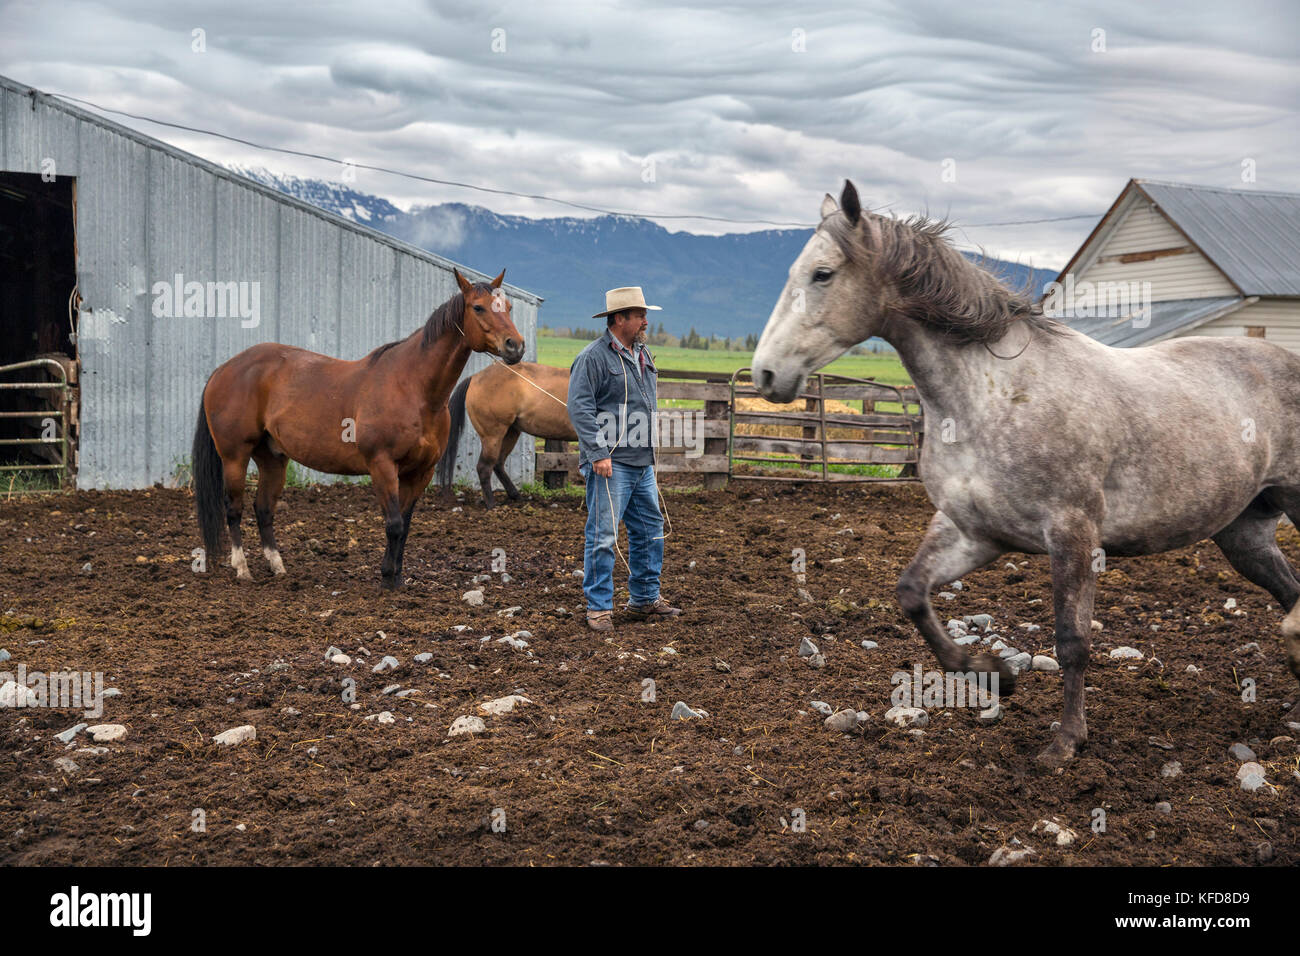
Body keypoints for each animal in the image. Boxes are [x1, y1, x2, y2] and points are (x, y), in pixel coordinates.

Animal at [191, 265, 522, 587]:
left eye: (508, 306)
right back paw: (242, 569)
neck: (413, 388)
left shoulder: (420, 472)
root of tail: (225, 368)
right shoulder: (382, 466)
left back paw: (277, 567)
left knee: (263, 509)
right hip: (235, 456)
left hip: (272, 458)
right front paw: (387, 579)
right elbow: (393, 524)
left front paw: (397, 578)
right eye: (478, 307)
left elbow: (406, 525)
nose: (515, 346)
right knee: (233, 509)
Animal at [434, 361, 572, 509]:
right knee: (484, 467)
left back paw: (515, 496)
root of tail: (475, 377)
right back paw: (491, 504)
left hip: (510, 433)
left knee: (498, 464)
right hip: (493, 437)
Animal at [748, 178, 1300, 764]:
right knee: (1292, 594)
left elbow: (1072, 642)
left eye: (822, 274)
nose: (767, 374)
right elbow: (912, 593)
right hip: (1243, 534)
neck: (990, 397)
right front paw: (994, 674)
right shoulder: (973, 532)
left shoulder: (1073, 534)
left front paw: (1065, 742)